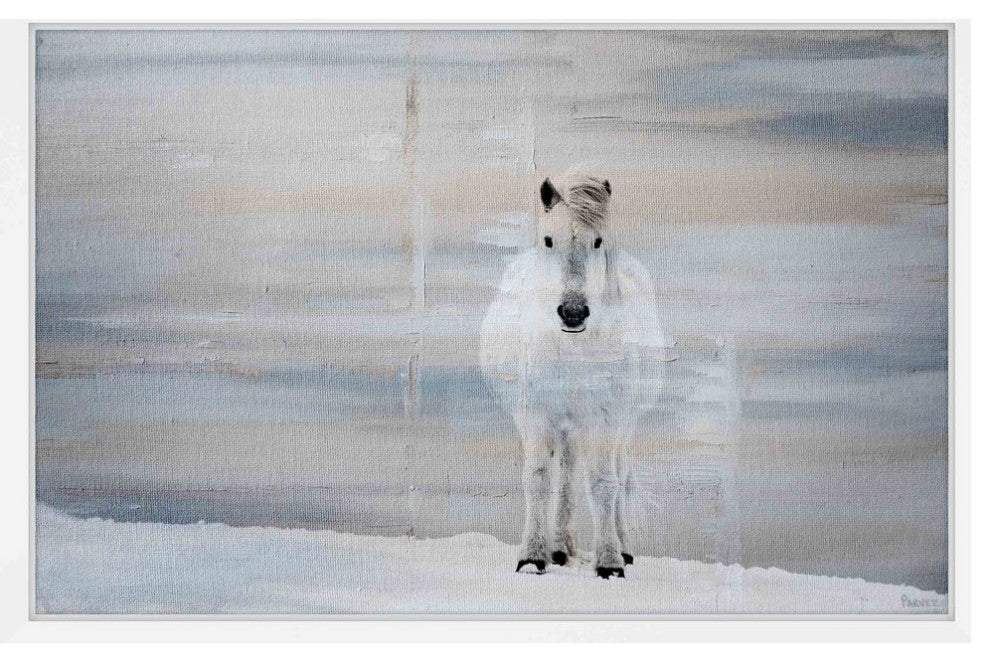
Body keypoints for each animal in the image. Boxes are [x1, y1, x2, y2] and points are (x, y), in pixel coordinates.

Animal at [480, 170, 673, 579]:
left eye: (597, 241)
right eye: (548, 240)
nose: (572, 312)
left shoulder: (604, 417)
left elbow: (603, 484)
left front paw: (610, 562)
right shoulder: (536, 415)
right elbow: (539, 479)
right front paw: (532, 556)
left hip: (623, 423)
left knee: (622, 478)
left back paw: (622, 547)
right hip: (566, 426)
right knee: (566, 477)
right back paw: (559, 547)